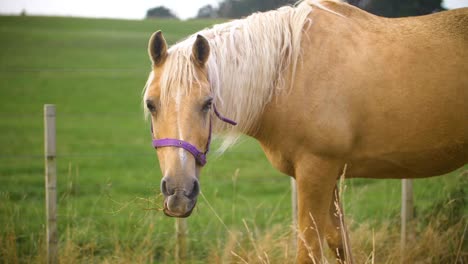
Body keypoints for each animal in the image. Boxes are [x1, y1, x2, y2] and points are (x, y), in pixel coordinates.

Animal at [143, 1, 468, 262]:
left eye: (208, 103)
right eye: (151, 104)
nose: (179, 192)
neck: (290, 71)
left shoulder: (316, 172)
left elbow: (309, 251)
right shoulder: (331, 178)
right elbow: (340, 243)